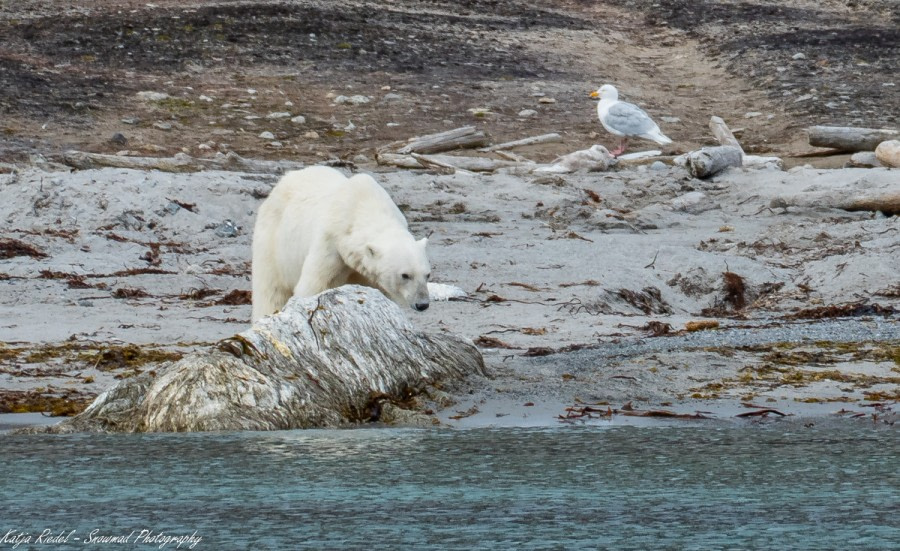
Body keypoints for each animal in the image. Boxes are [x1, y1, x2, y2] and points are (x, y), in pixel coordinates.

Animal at [251, 168, 430, 324]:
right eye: (405, 275)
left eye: (427, 275)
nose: (422, 304)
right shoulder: (330, 243)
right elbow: (312, 286)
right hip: (272, 241)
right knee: (271, 291)